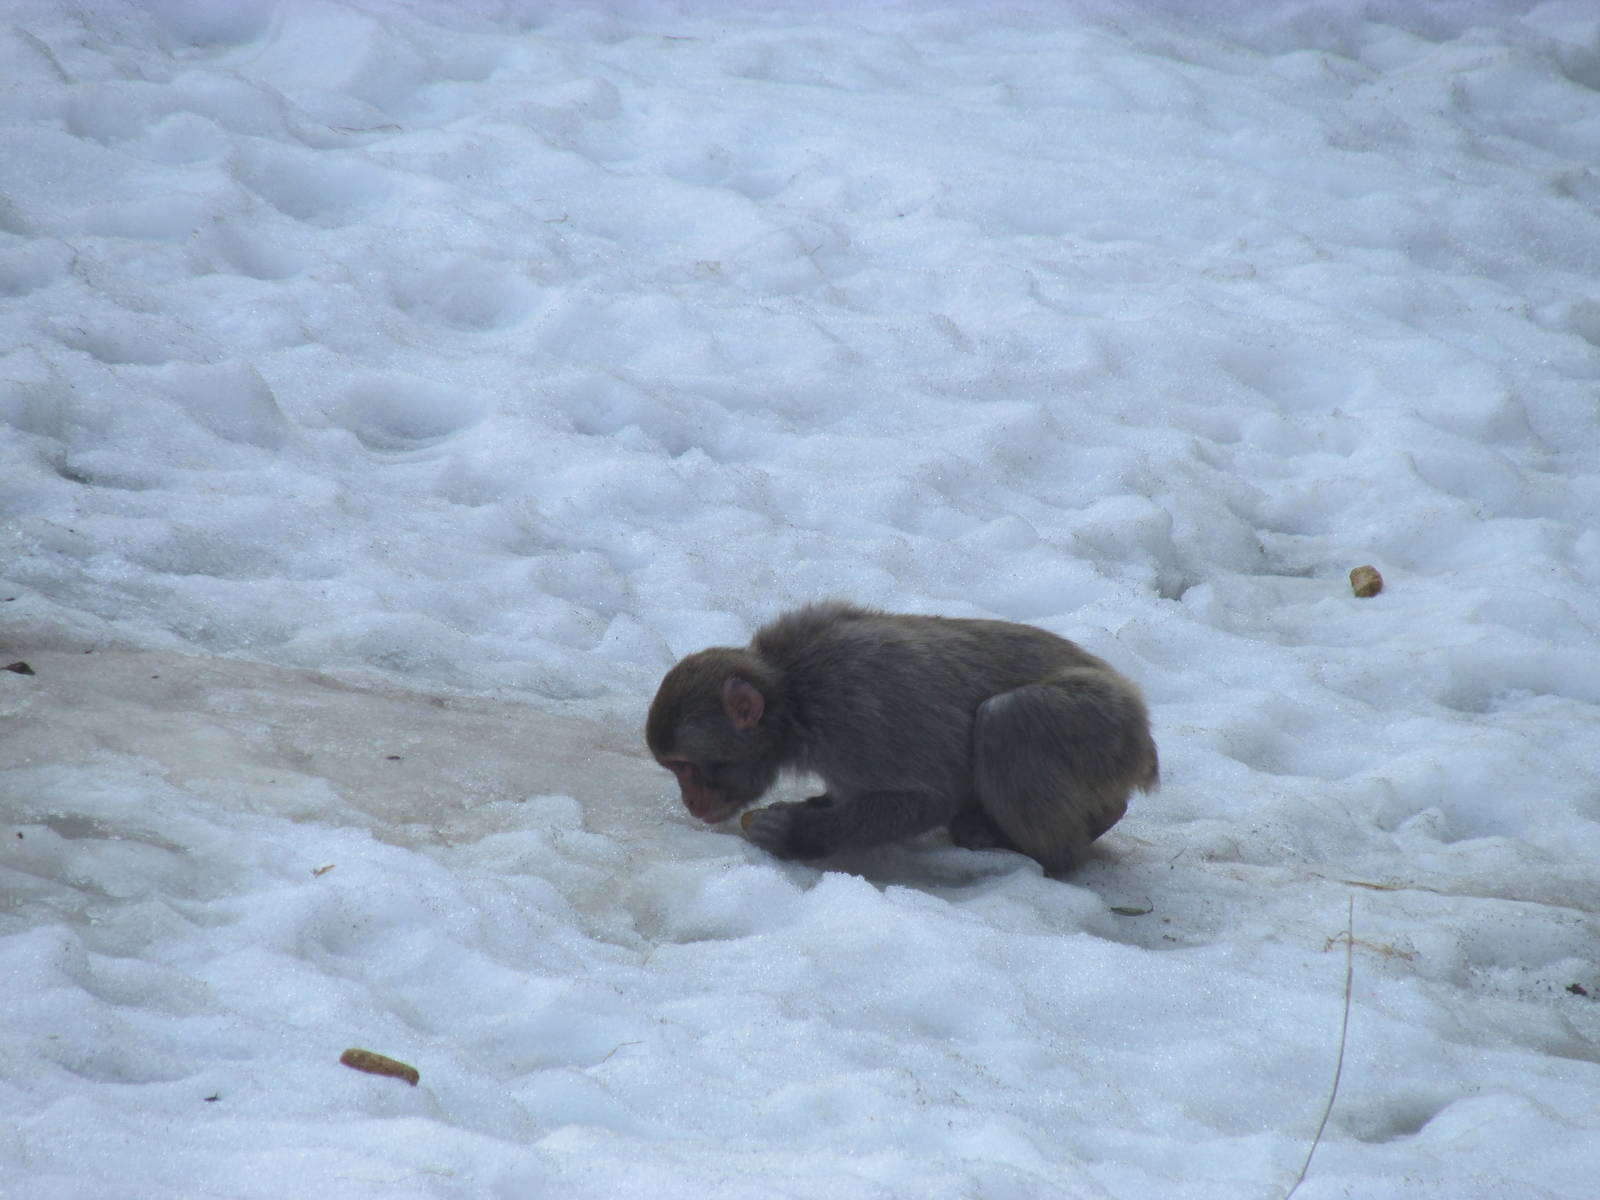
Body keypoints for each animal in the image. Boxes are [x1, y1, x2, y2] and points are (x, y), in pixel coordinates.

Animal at [645, 602, 1158, 873]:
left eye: (685, 766)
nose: (690, 801)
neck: (794, 695)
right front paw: (809, 808)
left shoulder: (855, 719)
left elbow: (929, 797)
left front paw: (794, 832)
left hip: (1104, 727)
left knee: (1009, 718)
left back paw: (1043, 851)